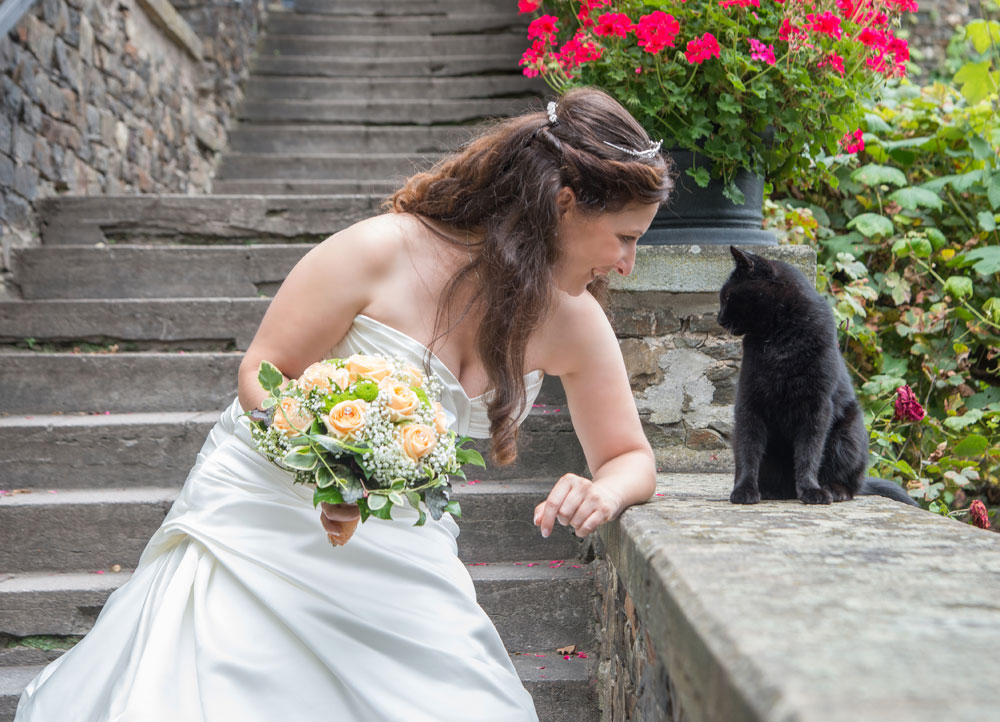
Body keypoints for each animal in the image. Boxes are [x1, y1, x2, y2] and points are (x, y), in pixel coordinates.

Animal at [720, 245, 916, 504]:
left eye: (727, 296)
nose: (718, 318)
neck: (780, 339)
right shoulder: (749, 403)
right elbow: (747, 451)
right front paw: (744, 490)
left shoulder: (816, 408)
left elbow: (809, 454)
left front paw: (811, 490)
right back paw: (772, 490)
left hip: (847, 434)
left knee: (851, 484)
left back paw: (834, 490)